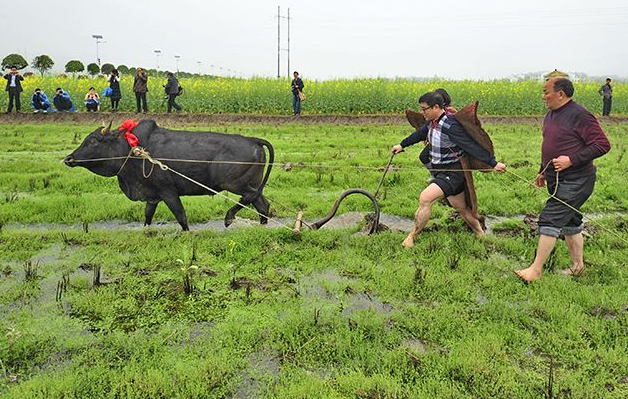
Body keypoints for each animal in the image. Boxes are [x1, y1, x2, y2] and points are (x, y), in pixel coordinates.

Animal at [62, 119, 274, 231]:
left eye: (93, 141)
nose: (69, 158)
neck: (132, 150)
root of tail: (252, 140)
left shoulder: (168, 192)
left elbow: (181, 217)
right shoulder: (152, 195)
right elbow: (148, 216)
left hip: (234, 183)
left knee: (250, 198)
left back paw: (229, 218)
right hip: (251, 183)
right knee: (262, 204)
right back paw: (262, 226)